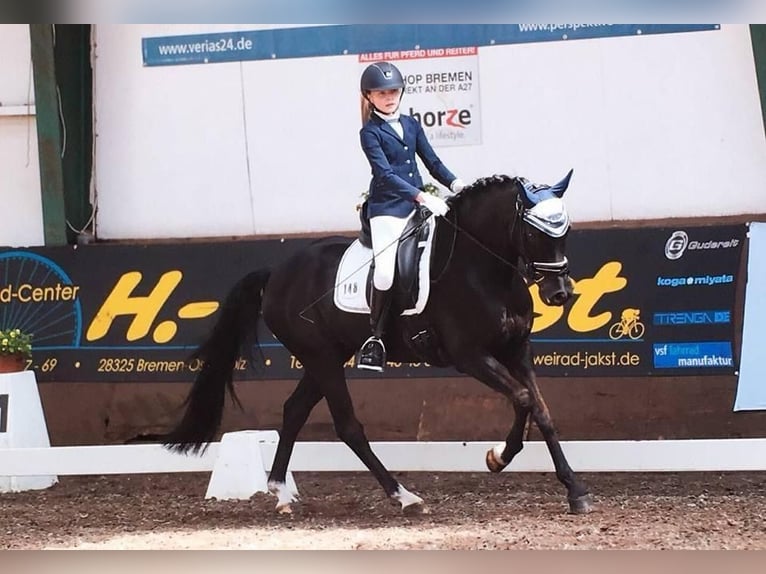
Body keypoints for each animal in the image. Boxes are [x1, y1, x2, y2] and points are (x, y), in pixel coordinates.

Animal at [166, 172, 592, 516]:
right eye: (534, 232)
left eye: (566, 231)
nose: (559, 293)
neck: (482, 270)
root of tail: (276, 273)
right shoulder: (471, 356)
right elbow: (522, 398)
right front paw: (498, 458)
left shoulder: (516, 350)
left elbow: (542, 411)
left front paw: (575, 490)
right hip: (321, 357)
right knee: (347, 425)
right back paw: (404, 497)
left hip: (326, 356)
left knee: (295, 410)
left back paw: (282, 494)